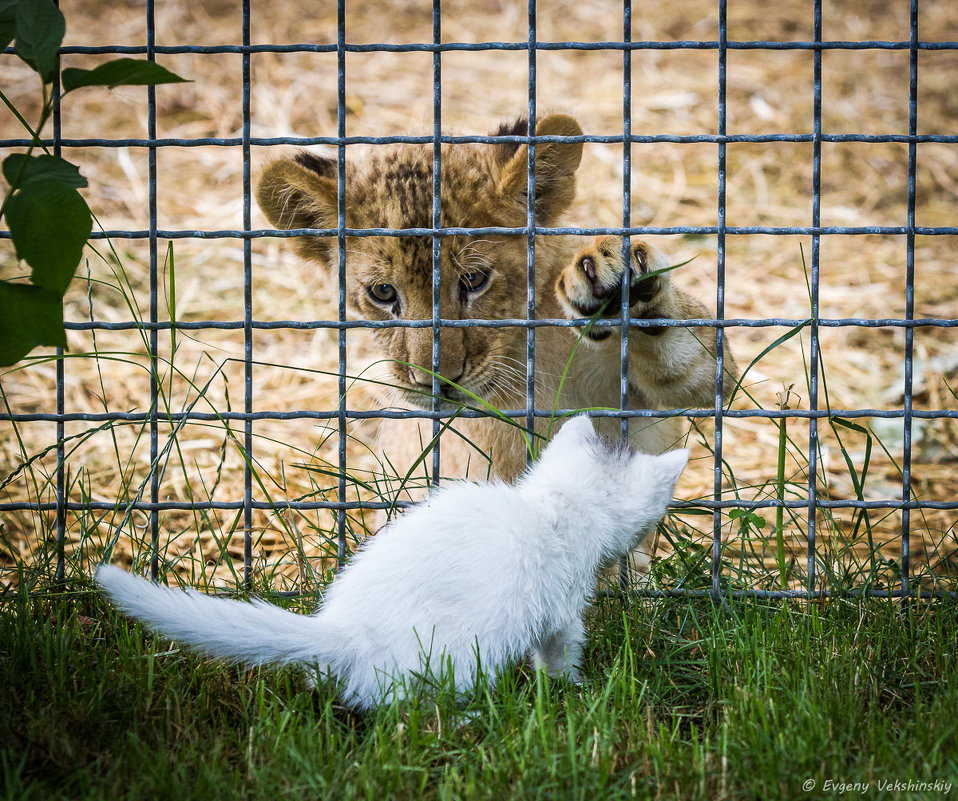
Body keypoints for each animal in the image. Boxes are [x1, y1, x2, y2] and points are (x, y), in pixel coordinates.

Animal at [97, 416, 688, 708]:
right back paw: (468, 718)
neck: (551, 507)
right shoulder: (560, 609)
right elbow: (562, 652)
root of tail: (344, 631)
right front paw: (576, 692)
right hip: (456, 657)